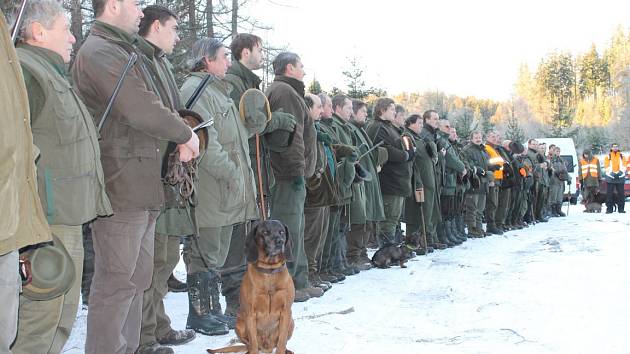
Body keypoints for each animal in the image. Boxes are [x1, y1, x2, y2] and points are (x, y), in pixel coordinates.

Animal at [207, 220, 296, 352]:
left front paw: (282, 350)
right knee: (250, 344)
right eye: (265, 232)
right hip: (239, 324)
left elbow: (281, 342)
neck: (269, 271)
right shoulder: (250, 313)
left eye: (282, 232)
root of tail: (267, 347)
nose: (279, 241)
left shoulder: (286, 312)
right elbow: (253, 342)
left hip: (291, 322)